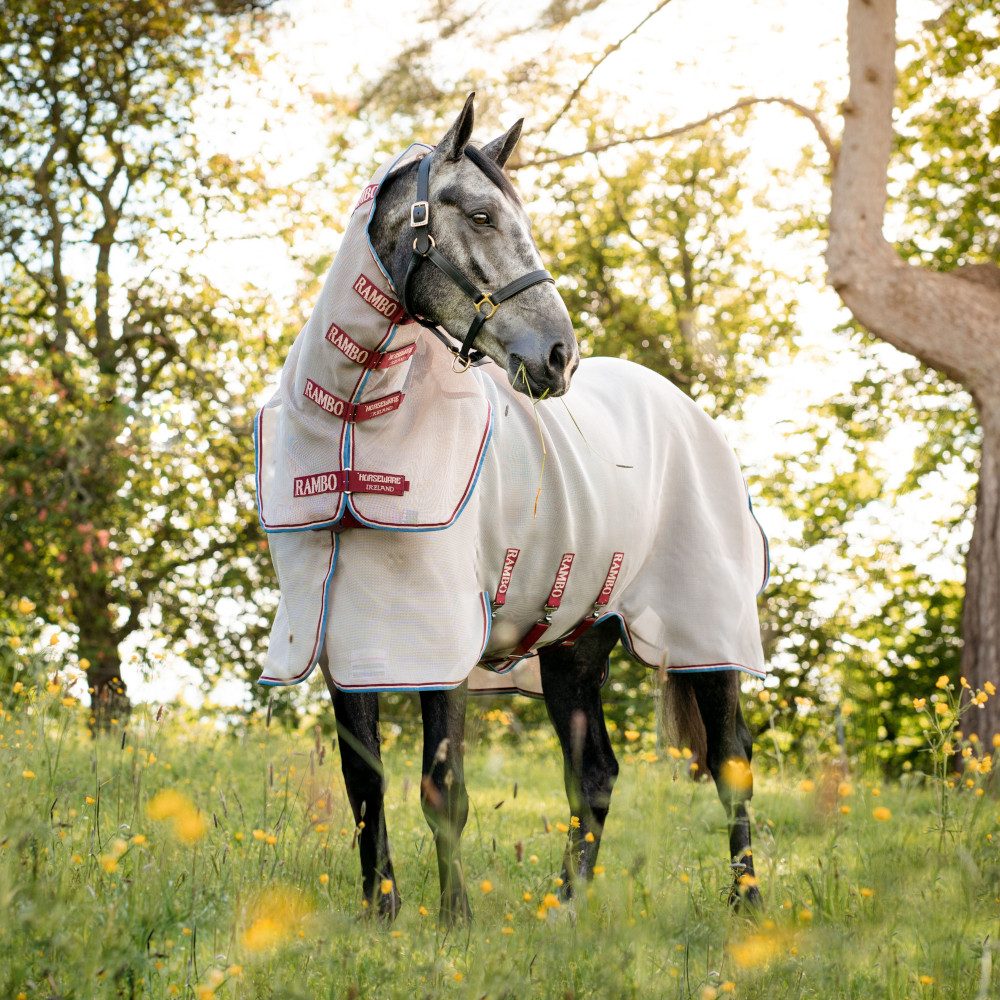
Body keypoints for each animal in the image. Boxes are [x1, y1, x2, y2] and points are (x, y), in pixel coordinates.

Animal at [255, 93, 768, 923]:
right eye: (482, 215)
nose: (560, 355)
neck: (358, 423)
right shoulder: (342, 639)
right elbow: (365, 786)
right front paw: (381, 915)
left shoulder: (443, 641)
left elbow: (442, 787)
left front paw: (454, 921)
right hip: (574, 646)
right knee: (594, 775)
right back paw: (564, 911)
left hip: (707, 636)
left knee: (731, 763)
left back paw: (745, 903)